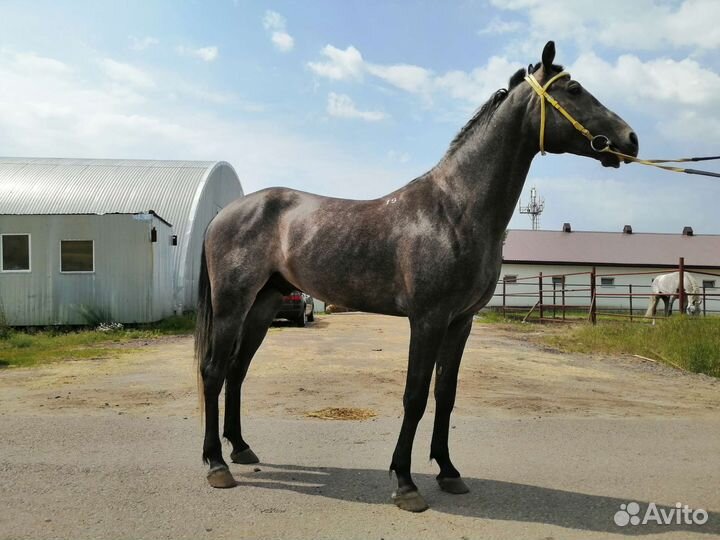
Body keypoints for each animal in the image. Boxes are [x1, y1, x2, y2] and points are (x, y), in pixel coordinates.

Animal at [195, 41, 638, 512]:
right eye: (573, 90)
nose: (630, 140)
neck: (454, 210)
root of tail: (226, 212)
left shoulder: (460, 322)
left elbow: (446, 394)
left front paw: (448, 471)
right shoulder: (427, 320)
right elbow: (415, 394)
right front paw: (405, 483)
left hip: (262, 306)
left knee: (236, 371)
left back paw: (241, 449)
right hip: (232, 306)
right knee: (213, 370)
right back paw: (216, 464)